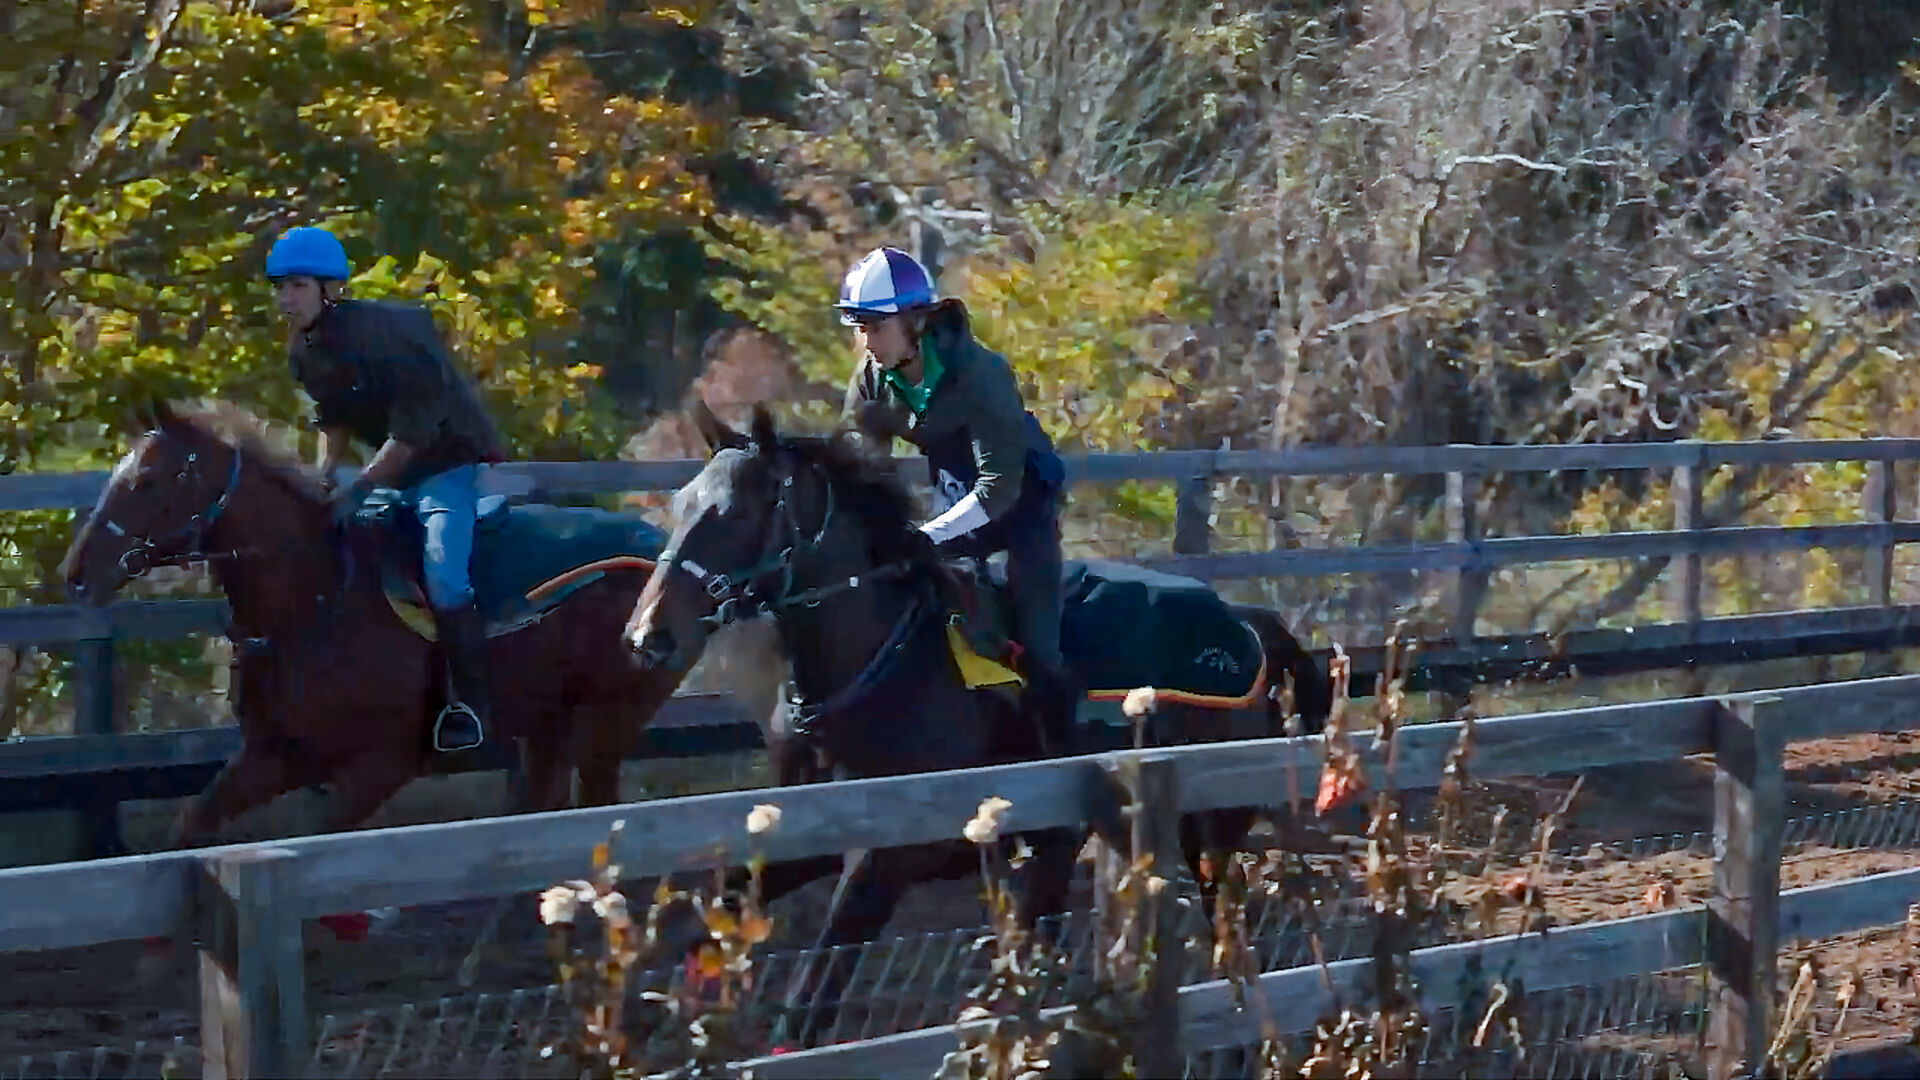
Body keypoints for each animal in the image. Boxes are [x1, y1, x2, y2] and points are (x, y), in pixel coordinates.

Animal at [60, 399, 733, 845]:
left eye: (147, 481)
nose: (75, 573)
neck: (315, 600)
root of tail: (660, 553)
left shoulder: (382, 766)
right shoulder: (273, 757)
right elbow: (189, 827)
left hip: (606, 723)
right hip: (549, 728)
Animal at [622, 403, 1328, 1045]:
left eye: (736, 512)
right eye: (682, 504)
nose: (646, 637)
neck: (879, 663)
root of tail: (1247, 628)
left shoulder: (889, 859)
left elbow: (808, 1004)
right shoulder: (807, 835)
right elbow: (708, 915)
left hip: (1211, 835)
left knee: (1233, 947)